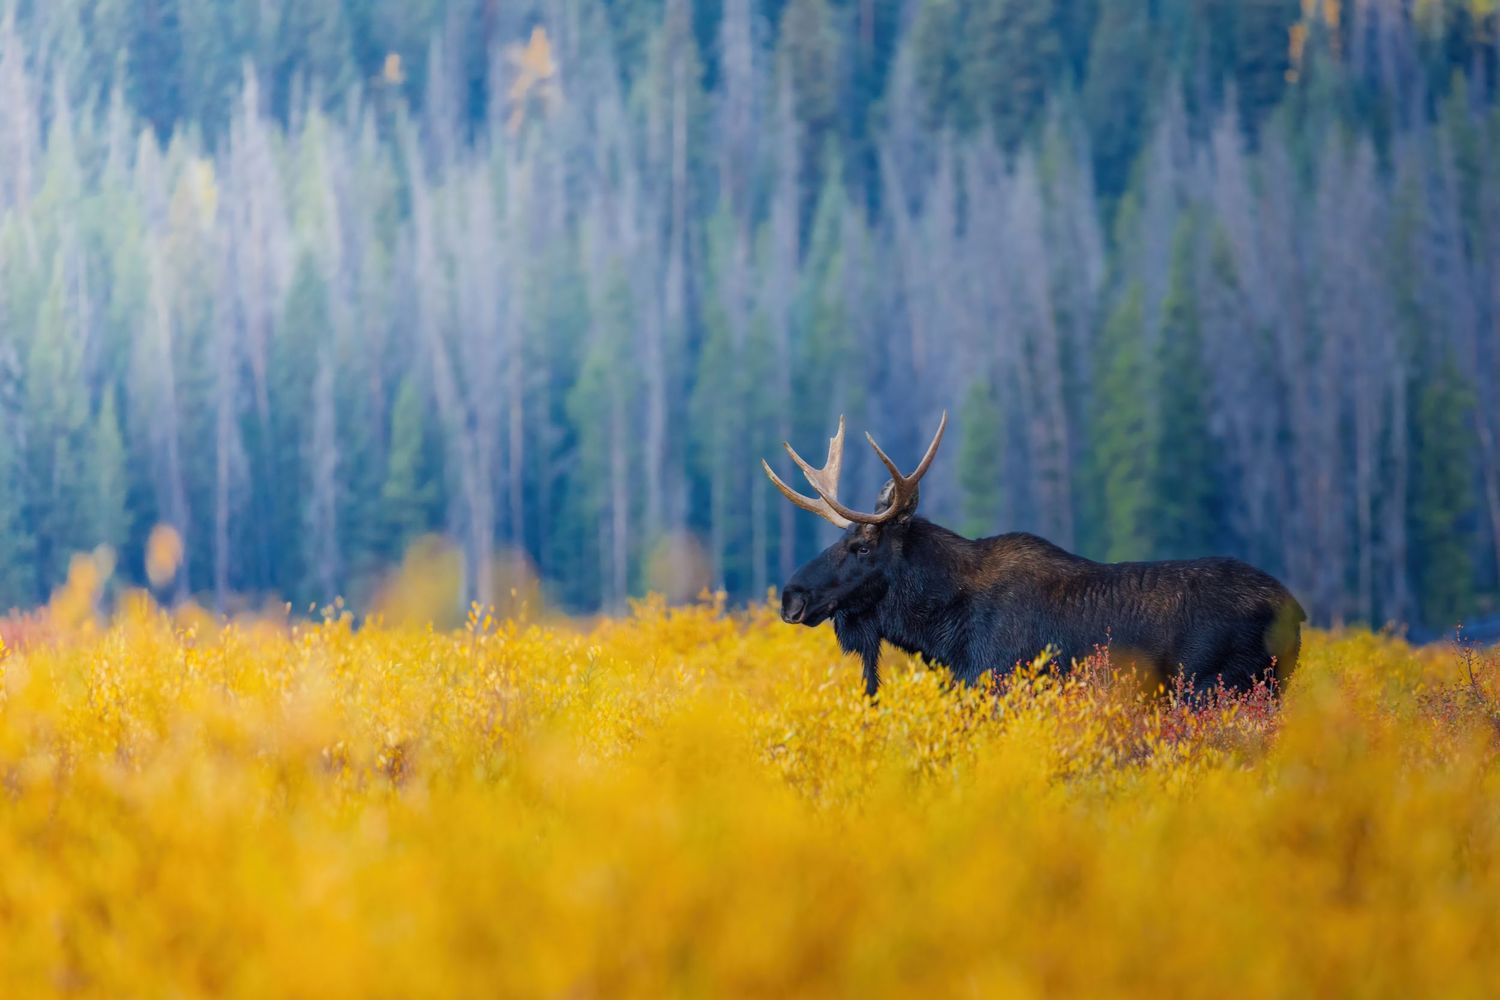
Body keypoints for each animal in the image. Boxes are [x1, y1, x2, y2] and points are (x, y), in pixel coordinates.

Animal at [762, 413, 1305, 699]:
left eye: (862, 546)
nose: (791, 597)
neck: (942, 629)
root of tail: (1295, 609)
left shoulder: (999, 683)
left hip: (1217, 686)